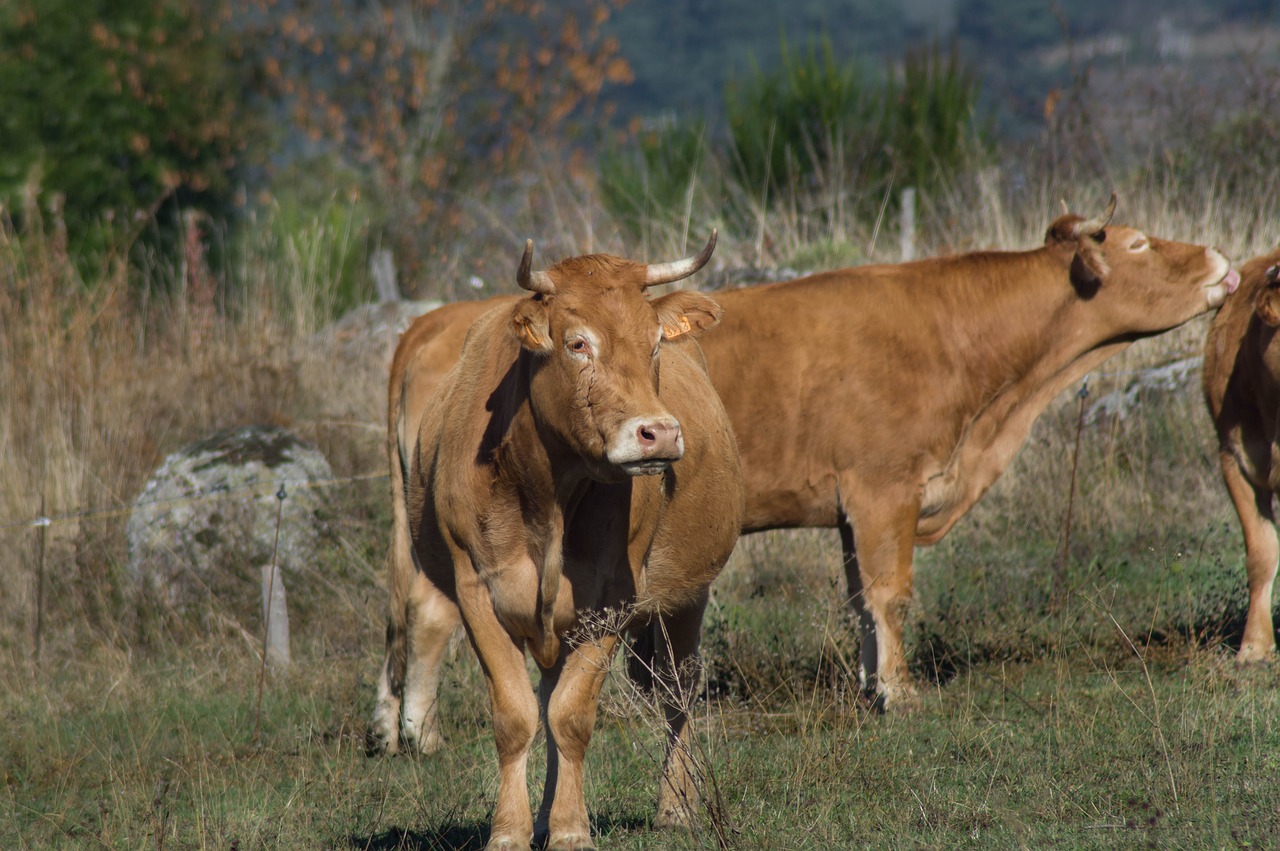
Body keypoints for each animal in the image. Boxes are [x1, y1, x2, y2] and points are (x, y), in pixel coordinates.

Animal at [371, 234, 747, 849]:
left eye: (654, 344)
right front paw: (511, 830)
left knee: (676, 690)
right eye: (577, 343)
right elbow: (518, 716)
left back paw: (675, 805)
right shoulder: (477, 592)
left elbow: (571, 717)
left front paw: (572, 829)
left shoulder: (612, 601)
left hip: (686, 596)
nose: (659, 433)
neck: (547, 496)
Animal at [373, 197, 1233, 721]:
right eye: (1142, 243)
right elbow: (891, 594)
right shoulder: (885, 489)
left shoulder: (858, 509)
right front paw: (901, 693)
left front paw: (870, 682)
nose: (1225, 262)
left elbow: (861, 602)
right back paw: (418, 731)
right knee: (430, 609)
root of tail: (431, 322)